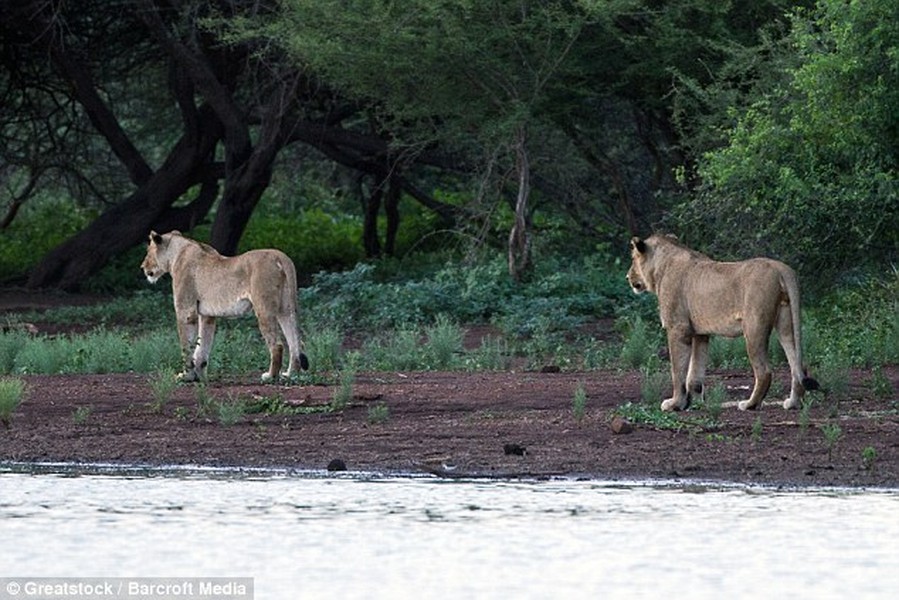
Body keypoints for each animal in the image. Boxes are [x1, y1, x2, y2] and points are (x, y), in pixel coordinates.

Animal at [141, 230, 310, 380]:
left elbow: (187, 345)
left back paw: (270, 376)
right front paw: (199, 375)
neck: (177, 253)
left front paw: (186, 376)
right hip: (286, 309)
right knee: (296, 343)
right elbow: (202, 346)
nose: (142, 267)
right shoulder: (207, 315)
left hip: (264, 308)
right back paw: (290, 374)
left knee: (278, 345)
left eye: (148, 251)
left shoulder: (186, 311)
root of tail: (280, 256)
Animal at [624, 234, 816, 412]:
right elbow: (695, 373)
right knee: (798, 365)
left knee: (764, 372)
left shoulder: (678, 328)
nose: (627, 277)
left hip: (754, 327)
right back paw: (793, 403)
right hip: (785, 323)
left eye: (633, 259)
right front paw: (694, 403)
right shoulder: (700, 334)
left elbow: (677, 371)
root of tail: (781, 267)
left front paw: (675, 404)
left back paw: (750, 404)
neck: (661, 267)